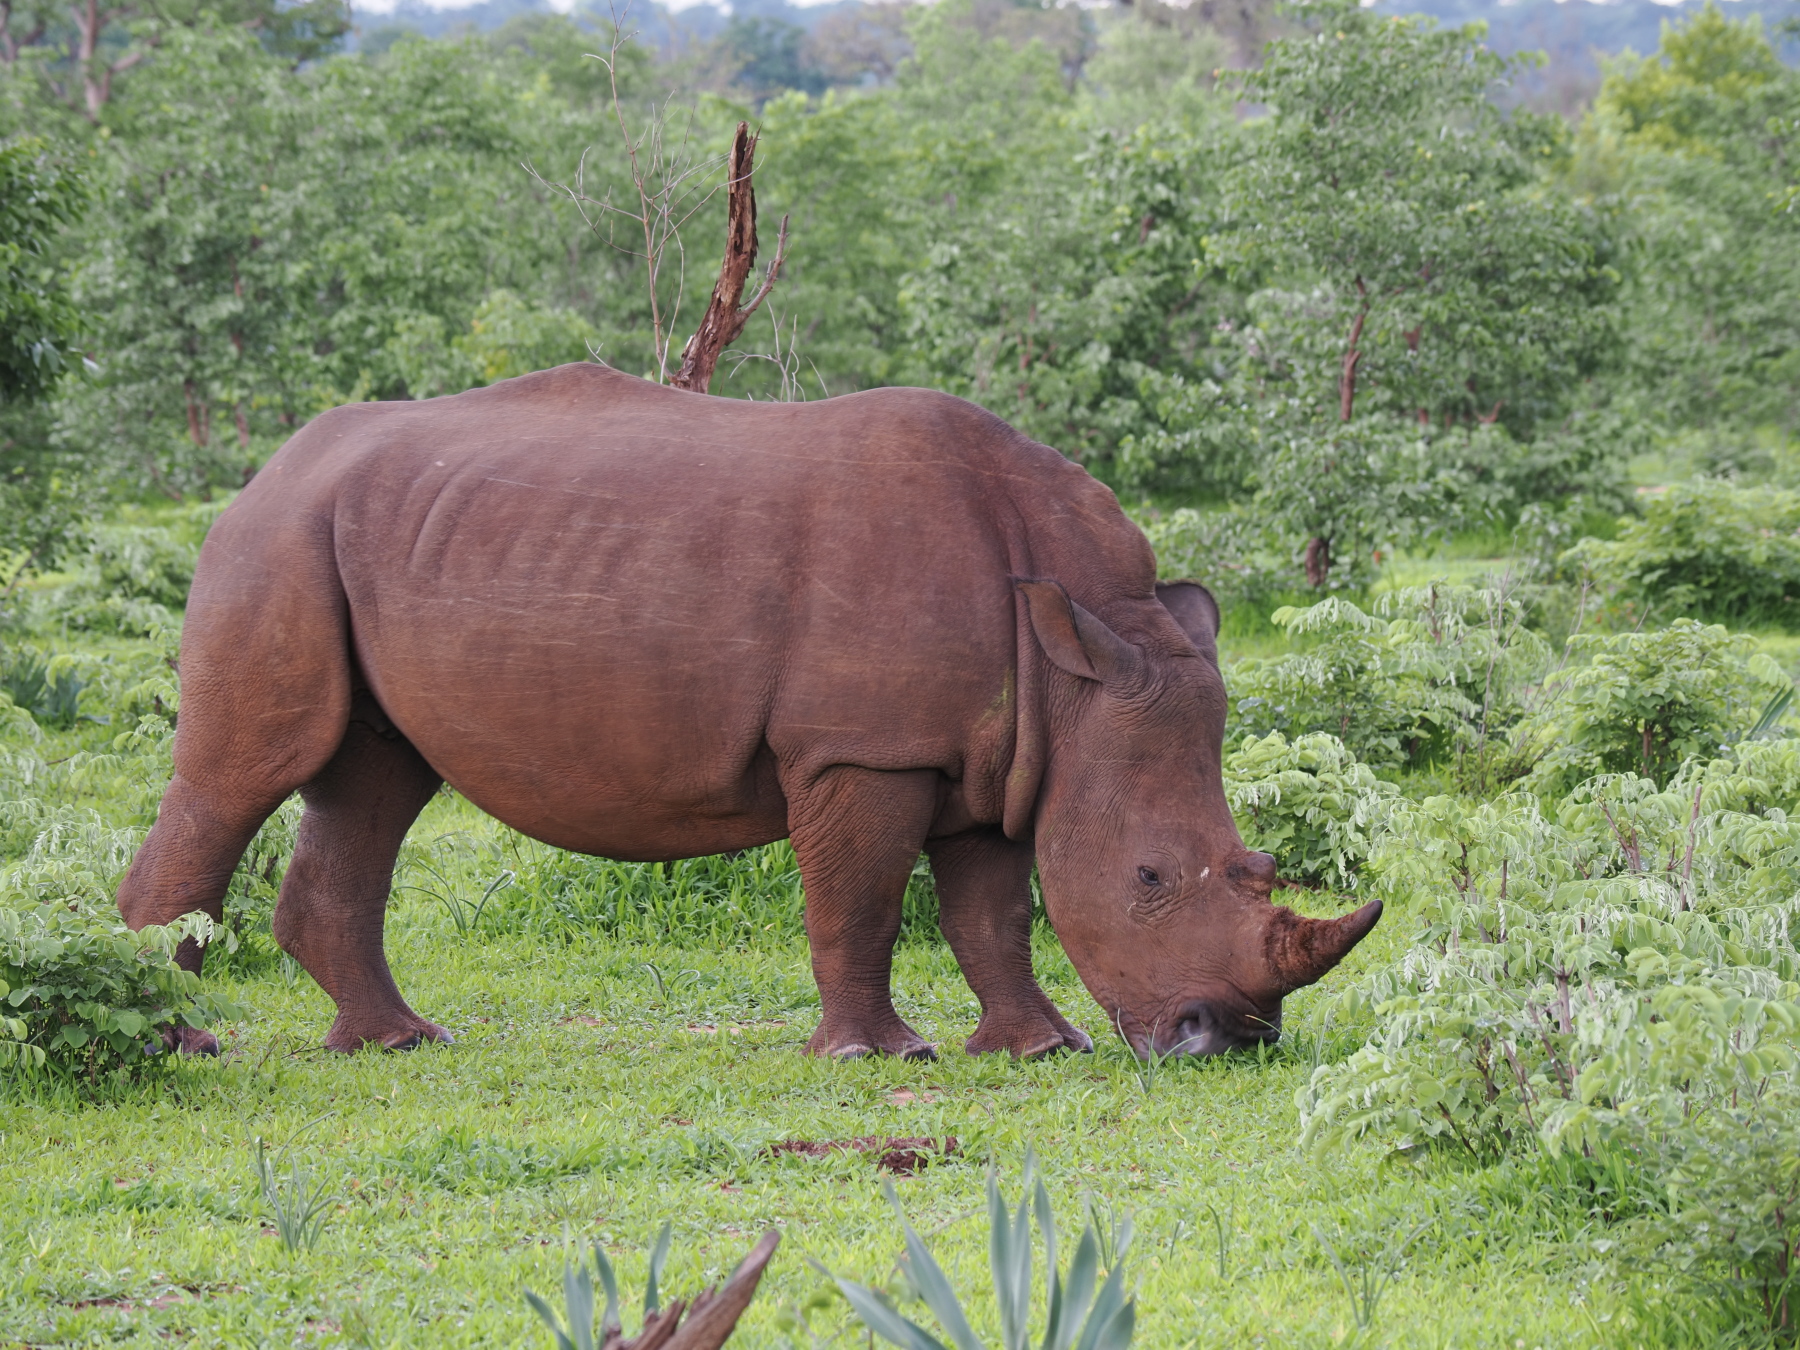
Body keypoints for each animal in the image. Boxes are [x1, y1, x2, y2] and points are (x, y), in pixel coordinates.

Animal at [118, 364, 1380, 1060]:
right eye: (1151, 880)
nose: (1232, 1039)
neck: (1075, 648)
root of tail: (267, 468)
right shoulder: (863, 750)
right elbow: (862, 902)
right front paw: (880, 1057)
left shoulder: (997, 750)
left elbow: (993, 909)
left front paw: (1039, 1049)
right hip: (273, 542)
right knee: (242, 773)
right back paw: (186, 1045)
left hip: (357, 538)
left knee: (376, 783)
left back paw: (399, 1043)